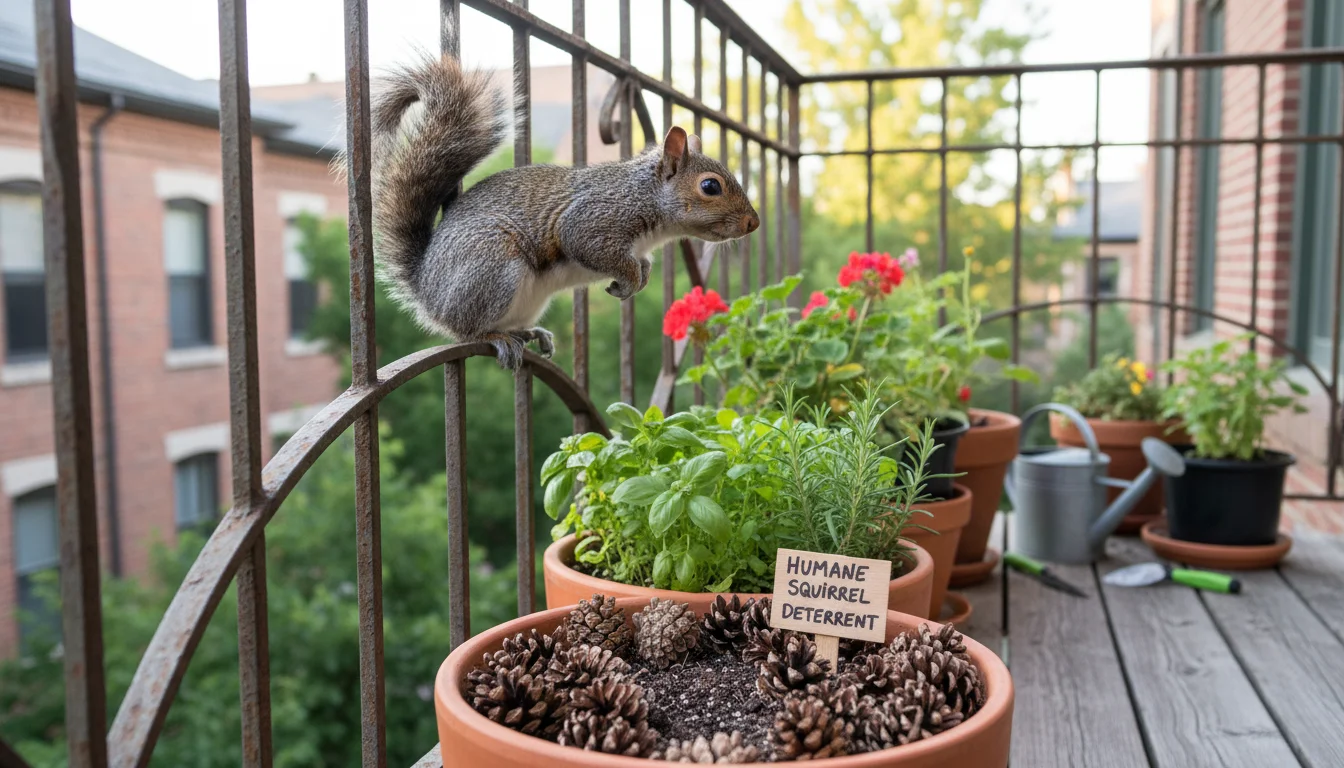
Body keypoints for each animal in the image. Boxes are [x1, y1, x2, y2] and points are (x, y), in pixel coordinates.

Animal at [368, 56, 760, 369]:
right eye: (710, 187)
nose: (753, 222)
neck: (643, 197)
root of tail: (427, 289)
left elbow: (641, 263)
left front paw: (641, 275)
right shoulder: (592, 220)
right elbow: (592, 246)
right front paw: (630, 278)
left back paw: (531, 332)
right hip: (492, 267)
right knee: (466, 330)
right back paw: (496, 337)